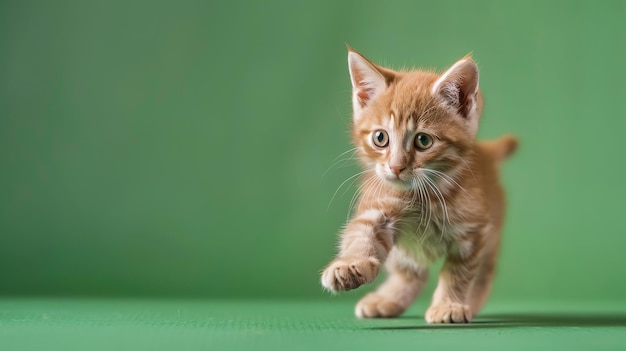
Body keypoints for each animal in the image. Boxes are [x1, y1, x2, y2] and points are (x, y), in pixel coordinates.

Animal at [320, 48, 516, 324]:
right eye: (380, 138)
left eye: (423, 141)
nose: (396, 167)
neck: (425, 195)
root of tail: (486, 152)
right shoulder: (378, 205)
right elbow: (362, 234)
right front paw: (348, 265)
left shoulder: (473, 232)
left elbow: (459, 273)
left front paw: (449, 304)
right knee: (412, 272)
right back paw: (387, 299)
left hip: (493, 231)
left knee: (483, 272)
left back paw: (471, 301)